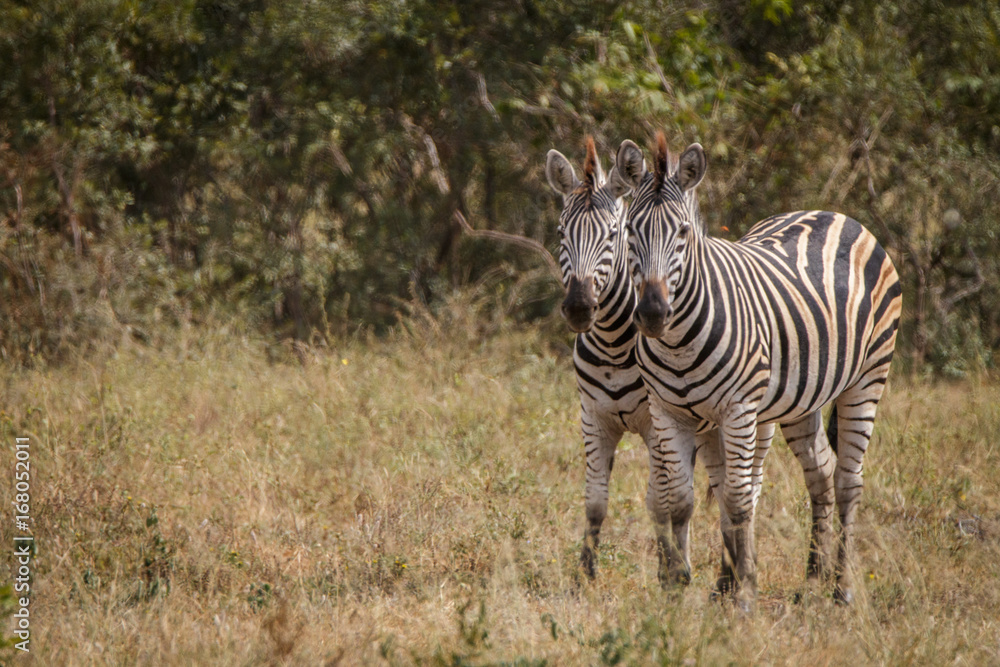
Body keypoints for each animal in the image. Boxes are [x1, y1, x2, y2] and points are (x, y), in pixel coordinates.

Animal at [614, 132, 902, 610]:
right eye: (630, 232)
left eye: (683, 232)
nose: (652, 314)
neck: (677, 343)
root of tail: (835, 213)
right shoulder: (667, 411)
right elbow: (679, 497)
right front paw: (679, 585)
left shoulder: (738, 409)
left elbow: (736, 497)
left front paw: (744, 590)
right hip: (801, 399)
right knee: (821, 473)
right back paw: (812, 578)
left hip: (868, 377)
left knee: (848, 481)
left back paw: (841, 587)